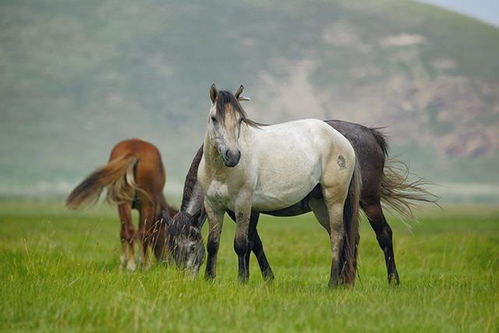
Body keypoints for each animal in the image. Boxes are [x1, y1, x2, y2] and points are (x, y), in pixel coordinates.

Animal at [65, 137, 177, 270]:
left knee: (132, 231)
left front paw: (125, 262)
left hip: (128, 202)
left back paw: (132, 264)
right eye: (168, 237)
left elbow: (125, 232)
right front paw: (139, 262)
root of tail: (135, 151)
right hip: (144, 203)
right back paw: (141, 265)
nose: (168, 261)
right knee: (142, 232)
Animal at [197, 85, 362, 286]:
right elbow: (213, 243)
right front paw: (208, 279)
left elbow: (241, 244)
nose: (233, 155)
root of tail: (343, 141)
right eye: (214, 118)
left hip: (334, 200)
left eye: (240, 119)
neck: (220, 173)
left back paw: (332, 284)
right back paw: (339, 283)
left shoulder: (243, 204)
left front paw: (242, 280)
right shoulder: (212, 205)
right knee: (335, 236)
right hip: (320, 205)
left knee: (338, 237)